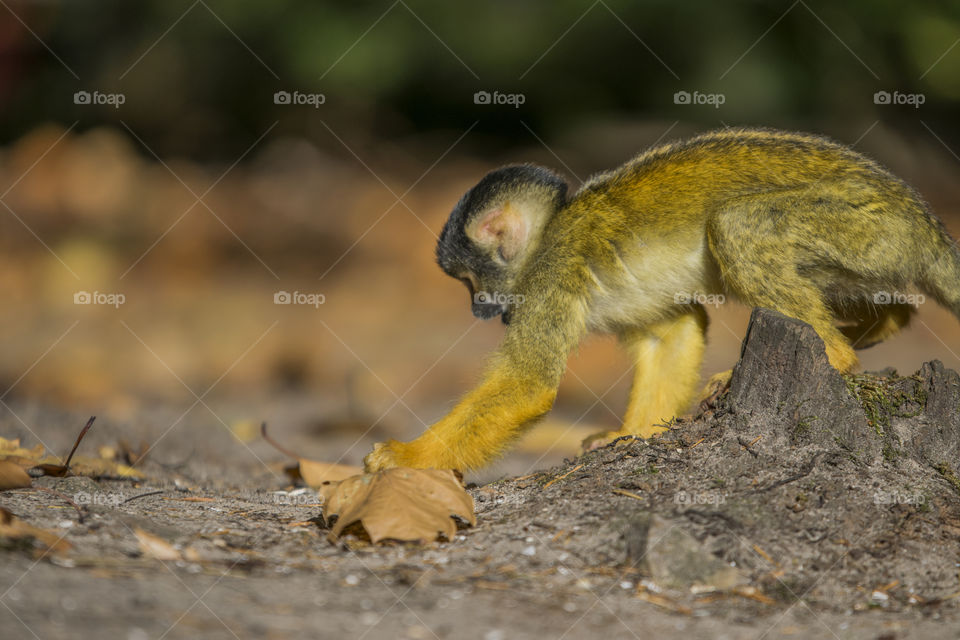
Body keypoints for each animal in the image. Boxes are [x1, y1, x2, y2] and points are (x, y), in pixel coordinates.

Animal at [363, 127, 960, 472]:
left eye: (470, 282)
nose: (476, 309)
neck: (549, 234)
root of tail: (928, 224)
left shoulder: (551, 273)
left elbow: (527, 385)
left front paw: (406, 458)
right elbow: (671, 333)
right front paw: (633, 435)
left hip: (870, 227)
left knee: (736, 225)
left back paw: (835, 353)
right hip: (880, 244)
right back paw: (879, 324)